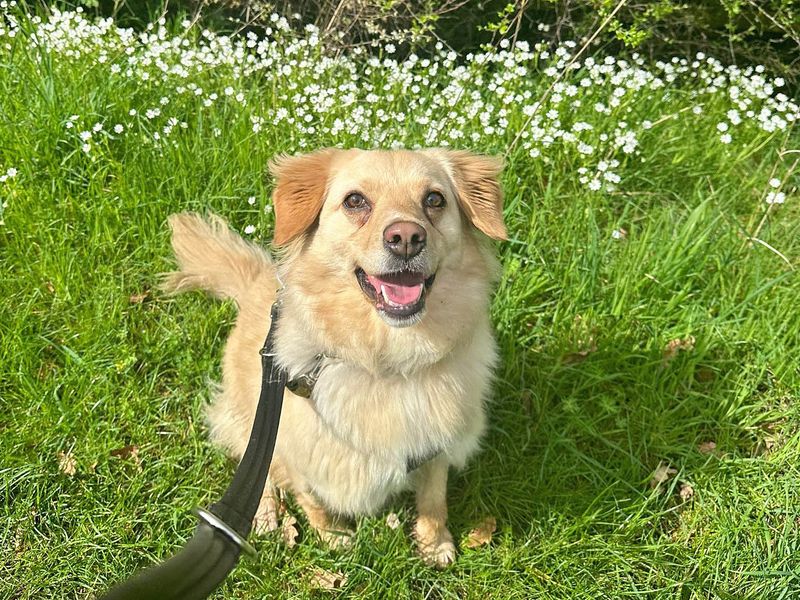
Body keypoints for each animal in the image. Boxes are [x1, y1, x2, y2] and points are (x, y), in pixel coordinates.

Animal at [164, 149, 506, 568]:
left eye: (434, 199)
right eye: (355, 201)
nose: (406, 238)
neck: (386, 361)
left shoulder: (436, 444)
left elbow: (433, 501)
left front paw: (435, 545)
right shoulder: (295, 451)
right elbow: (312, 501)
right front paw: (335, 538)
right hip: (250, 418)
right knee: (256, 470)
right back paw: (264, 514)